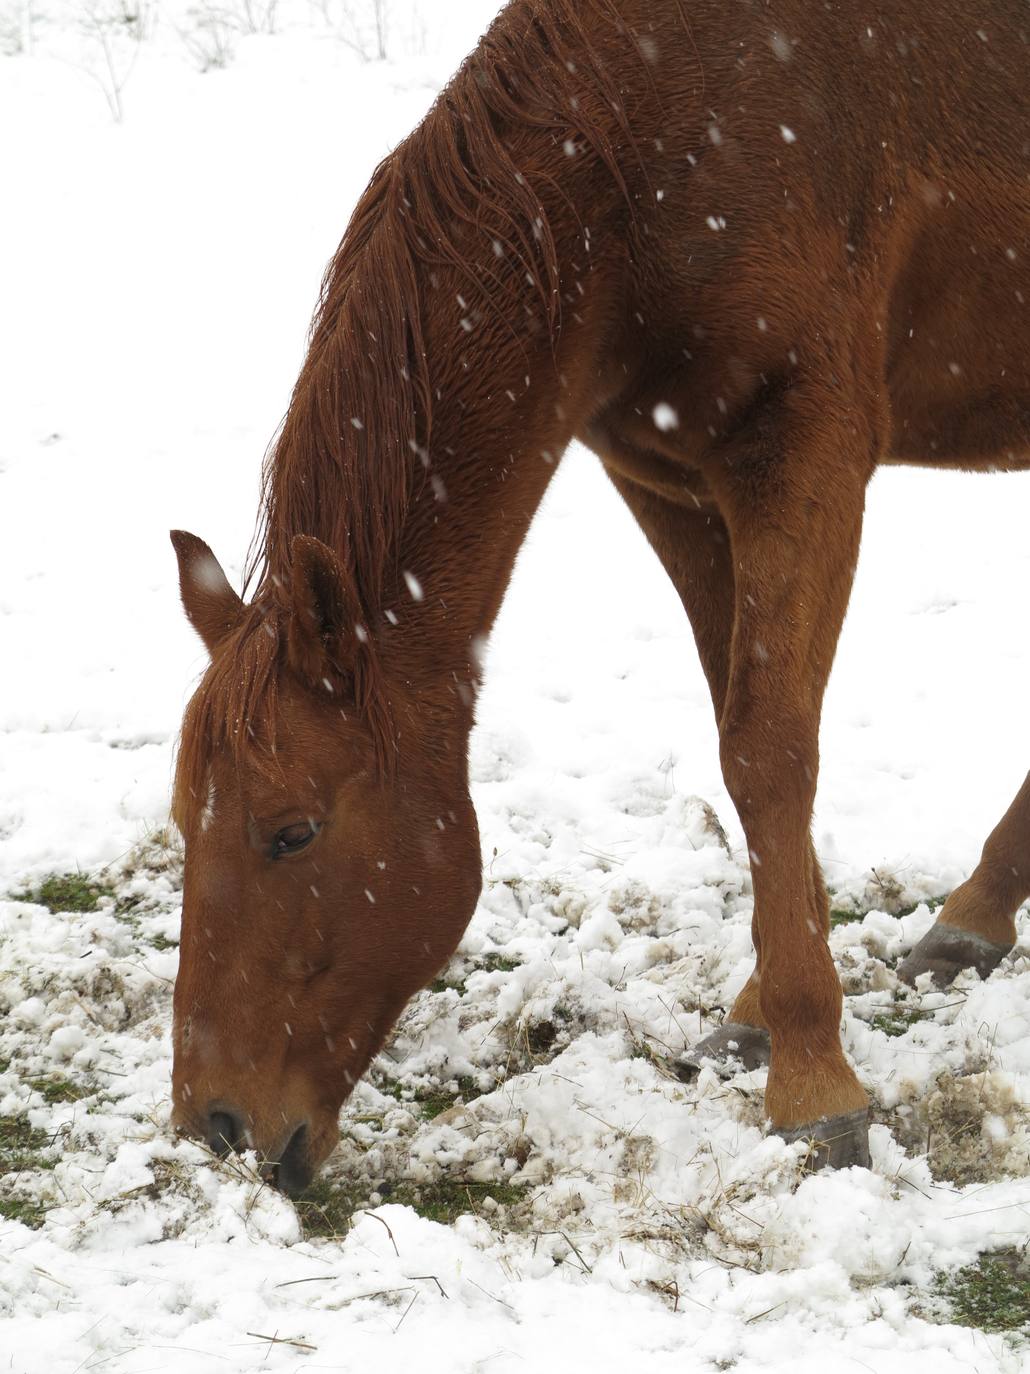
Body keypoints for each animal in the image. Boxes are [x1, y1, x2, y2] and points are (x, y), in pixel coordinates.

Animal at [165, 0, 1027, 1192]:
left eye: (290, 832)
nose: (215, 1125)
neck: (645, 158)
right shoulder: (666, 478)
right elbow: (742, 730)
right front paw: (762, 1011)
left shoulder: (803, 457)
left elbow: (769, 753)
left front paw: (814, 1084)